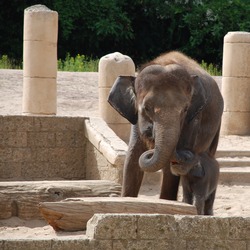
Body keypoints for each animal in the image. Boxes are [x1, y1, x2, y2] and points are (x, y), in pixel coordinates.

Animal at [108, 50, 224, 201]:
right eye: (146, 108)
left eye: (185, 109)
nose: (151, 134)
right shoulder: (136, 121)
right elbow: (132, 160)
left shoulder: (192, 121)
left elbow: (169, 170)